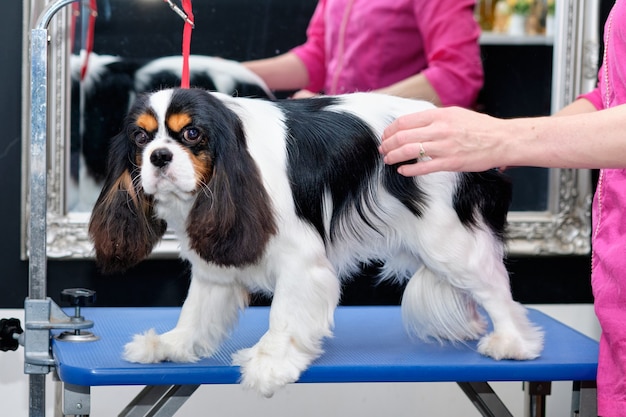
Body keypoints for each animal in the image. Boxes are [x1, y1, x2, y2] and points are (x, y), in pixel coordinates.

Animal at [88, 88, 540, 396]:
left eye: (192, 134)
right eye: (141, 139)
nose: (160, 157)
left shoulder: (301, 264)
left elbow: (284, 317)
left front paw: (269, 363)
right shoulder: (216, 260)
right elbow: (195, 310)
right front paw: (173, 345)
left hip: (445, 238)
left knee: (495, 287)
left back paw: (513, 342)